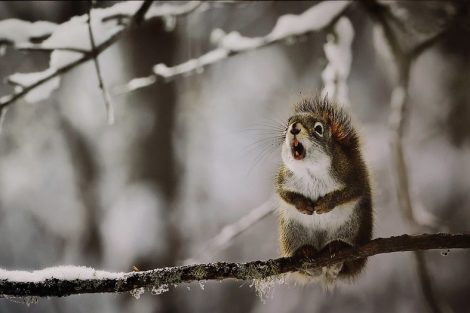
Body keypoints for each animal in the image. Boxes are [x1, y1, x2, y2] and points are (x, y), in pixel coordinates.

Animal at [274, 96, 372, 286]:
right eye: (287, 124)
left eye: (318, 129)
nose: (294, 128)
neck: (309, 170)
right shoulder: (283, 179)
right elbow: (284, 195)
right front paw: (303, 205)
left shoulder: (351, 174)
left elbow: (350, 192)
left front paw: (325, 204)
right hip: (291, 232)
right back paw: (305, 253)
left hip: (350, 226)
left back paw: (336, 248)